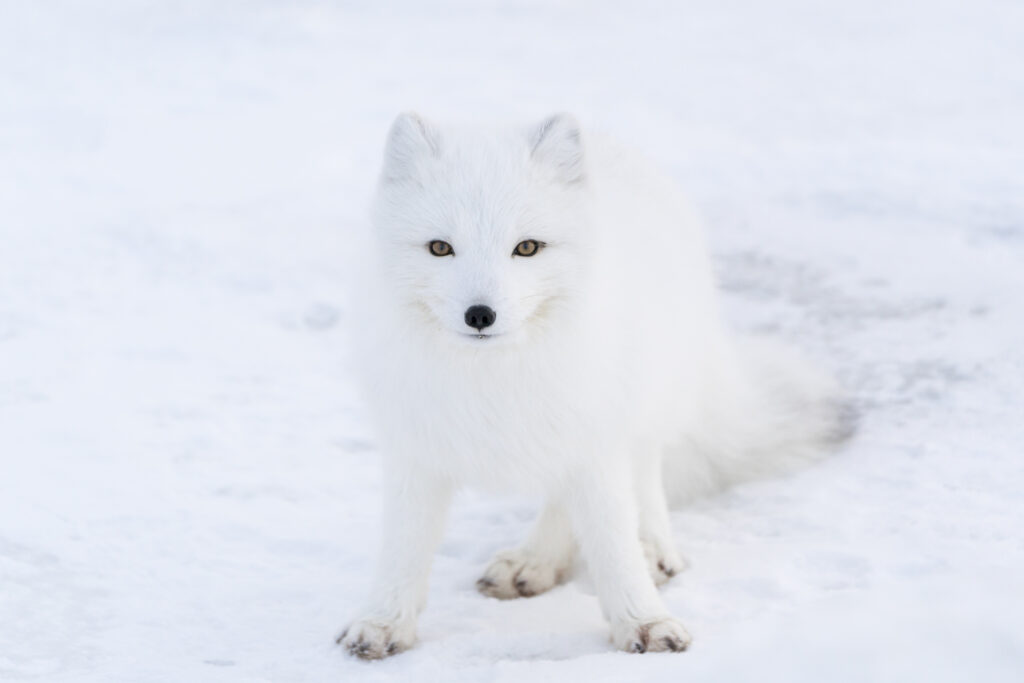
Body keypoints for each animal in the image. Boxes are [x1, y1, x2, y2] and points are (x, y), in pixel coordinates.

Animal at [339, 114, 851, 659]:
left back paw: (647, 549)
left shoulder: (595, 441)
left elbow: (612, 539)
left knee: (644, 471)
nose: (480, 315)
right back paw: (534, 563)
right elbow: (404, 547)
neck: (495, 376)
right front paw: (382, 623)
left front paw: (644, 620)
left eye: (527, 247)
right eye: (440, 247)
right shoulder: (415, 448)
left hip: (640, 398)